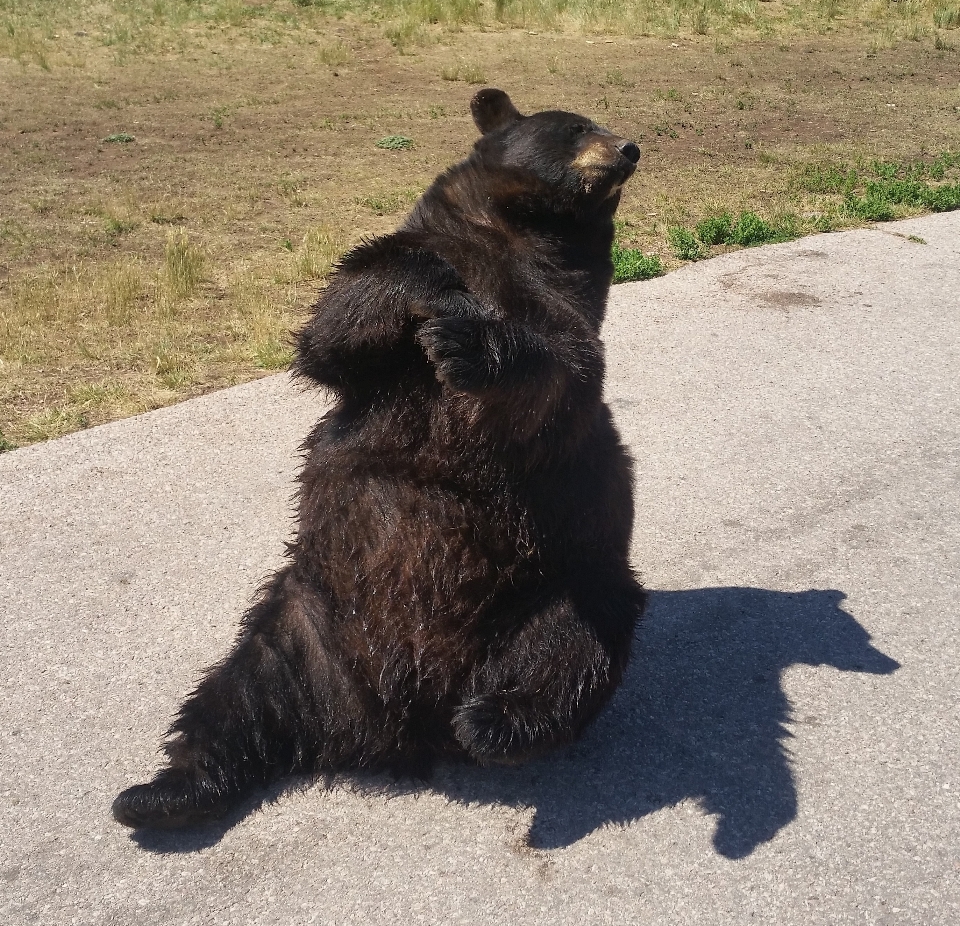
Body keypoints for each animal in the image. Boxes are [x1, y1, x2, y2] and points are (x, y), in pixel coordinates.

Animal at [116, 90, 648, 832]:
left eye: (595, 125)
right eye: (576, 127)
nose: (630, 147)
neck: (522, 237)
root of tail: (394, 722)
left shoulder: (564, 309)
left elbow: (558, 376)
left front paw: (470, 341)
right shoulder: (406, 276)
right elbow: (336, 326)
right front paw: (430, 287)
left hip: (564, 582)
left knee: (570, 651)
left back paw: (492, 721)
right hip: (302, 624)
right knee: (234, 696)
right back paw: (159, 794)